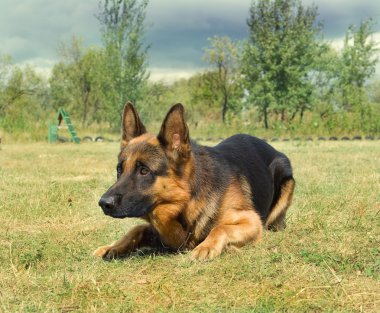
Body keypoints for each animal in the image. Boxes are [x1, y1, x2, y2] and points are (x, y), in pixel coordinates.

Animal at [93, 103, 296, 260]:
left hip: (285, 177)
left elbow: (220, 228)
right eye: (119, 170)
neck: (187, 202)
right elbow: (137, 228)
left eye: (144, 171)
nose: (103, 203)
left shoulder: (251, 220)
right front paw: (112, 247)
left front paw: (206, 246)